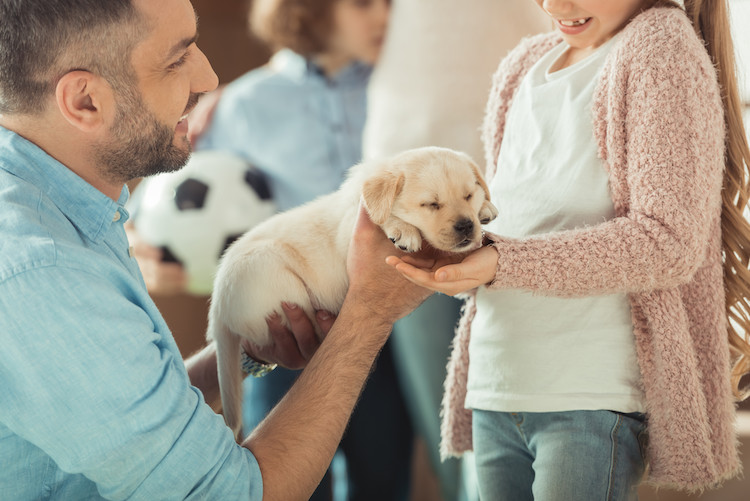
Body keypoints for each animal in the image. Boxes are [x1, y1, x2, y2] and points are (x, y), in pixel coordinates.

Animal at [206, 146, 500, 434]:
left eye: (468, 195)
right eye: (431, 204)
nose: (466, 226)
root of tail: (218, 309)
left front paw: (487, 207)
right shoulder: (351, 233)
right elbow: (382, 218)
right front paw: (401, 228)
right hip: (272, 276)